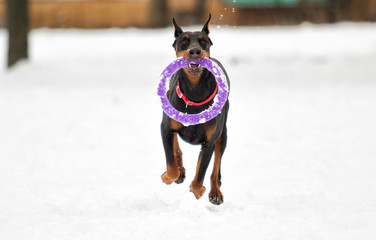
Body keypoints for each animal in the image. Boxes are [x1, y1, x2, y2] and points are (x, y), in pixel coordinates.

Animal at [159, 14, 229, 204]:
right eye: (183, 41)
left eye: (203, 41)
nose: (195, 51)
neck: (194, 90)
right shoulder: (165, 128)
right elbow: (171, 166)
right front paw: (169, 176)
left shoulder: (209, 142)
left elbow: (200, 176)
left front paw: (197, 191)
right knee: (176, 147)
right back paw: (181, 171)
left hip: (223, 134)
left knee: (216, 166)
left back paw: (215, 193)